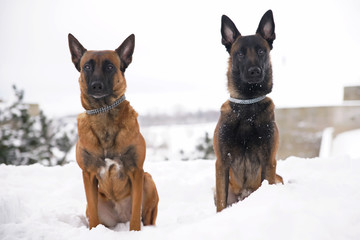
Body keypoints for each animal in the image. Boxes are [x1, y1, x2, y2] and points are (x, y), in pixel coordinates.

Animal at [68, 33, 158, 231]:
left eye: (110, 67)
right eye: (87, 66)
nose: (96, 86)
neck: (103, 112)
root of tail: (120, 218)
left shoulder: (136, 171)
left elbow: (136, 213)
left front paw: (134, 232)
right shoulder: (88, 174)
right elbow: (93, 213)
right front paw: (94, 231)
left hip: (147, 180)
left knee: (144, 217)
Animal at [214, 9, 284, 212]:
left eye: (261, 51)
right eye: (240, 54)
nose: (254, 71)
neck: (247, 107)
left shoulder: (268, 161)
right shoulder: (222, 163)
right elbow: (221, 203)